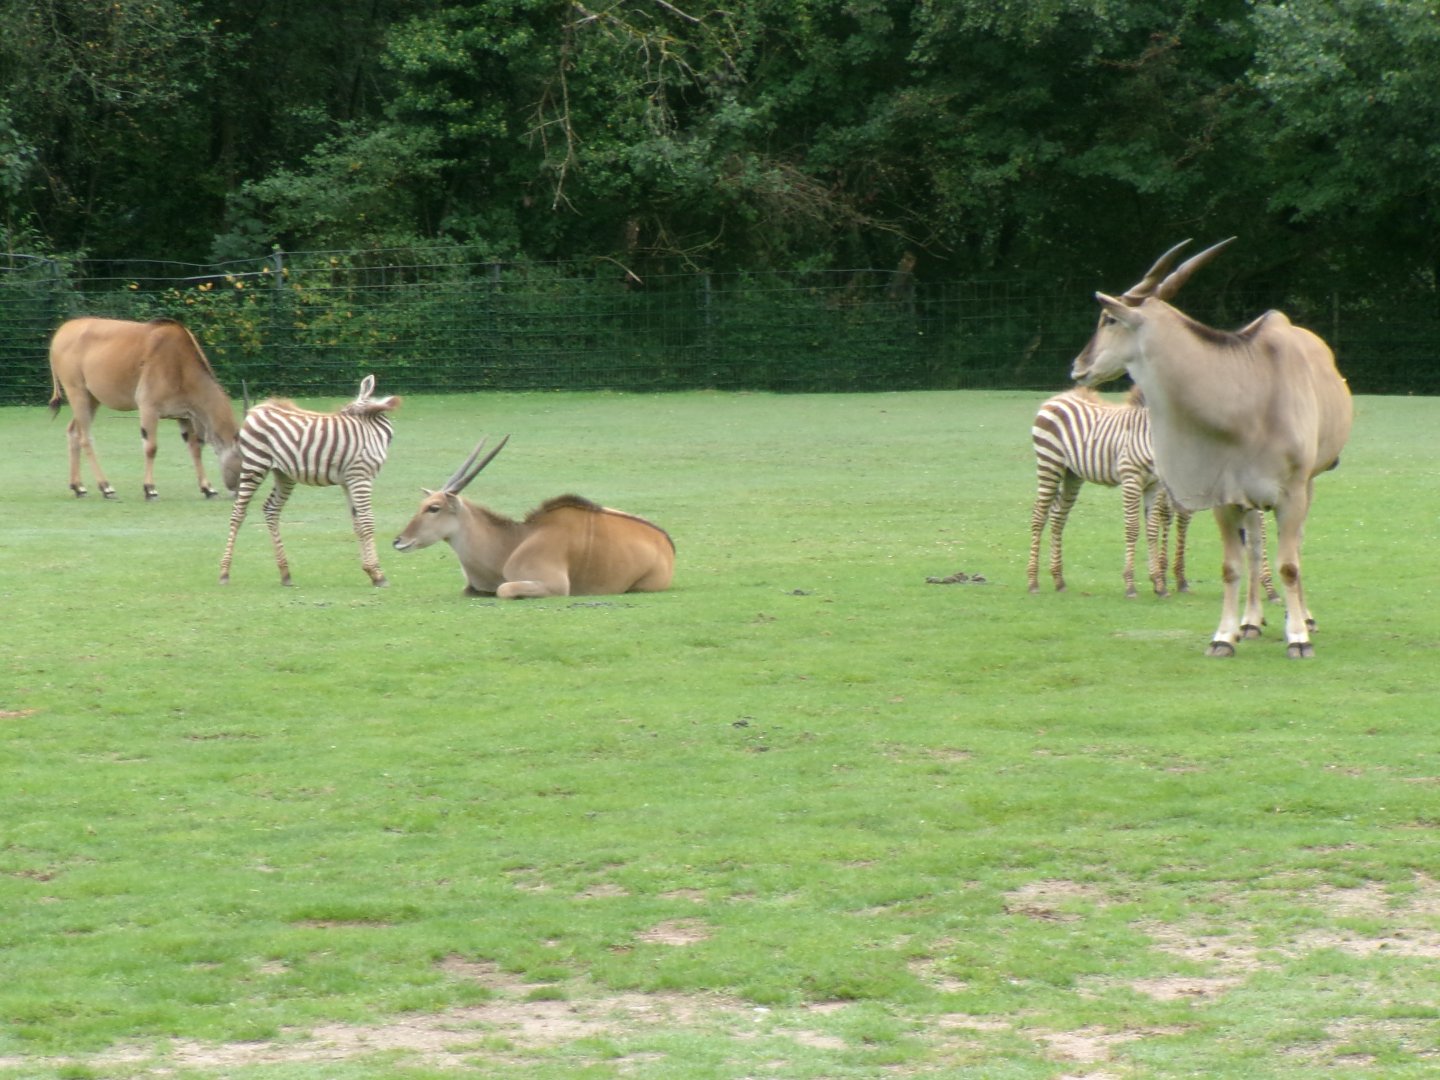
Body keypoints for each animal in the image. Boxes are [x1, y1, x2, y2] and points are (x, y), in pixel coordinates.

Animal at [219, 375, 401, 587]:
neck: (370, 425)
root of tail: (257, 409)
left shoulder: (348, 481)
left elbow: (357, 523)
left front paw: (370, 571)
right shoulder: (360, 477)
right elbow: (367, 521)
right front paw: (379, 574)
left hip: (283, 473)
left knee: (271, 509)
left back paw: (285, 573)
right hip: (255, 464)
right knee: (238, 513)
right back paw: (224, 572)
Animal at [1027, 386, 1189, 598]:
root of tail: (1058, 397)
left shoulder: (1155, 485)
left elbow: (1152, 529)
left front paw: (1159, 585)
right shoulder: (1131, 478)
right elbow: (1132, 528)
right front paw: (1130, 585)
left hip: (1072, 474)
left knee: (1057, 516)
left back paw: (1059, 580)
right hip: (1049, 463)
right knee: (1039, 516)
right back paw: (1032, 581)